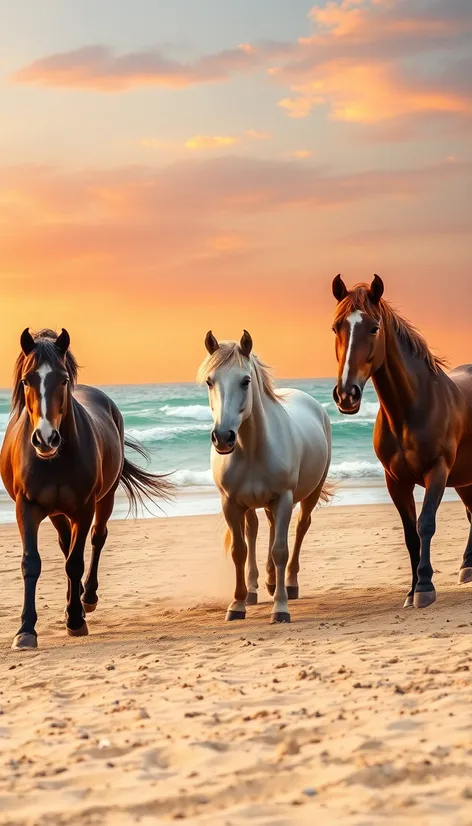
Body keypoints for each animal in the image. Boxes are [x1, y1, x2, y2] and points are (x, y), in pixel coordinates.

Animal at [0, 326, 172, 648]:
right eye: (27, 380)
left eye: (63, 379)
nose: (45, 439)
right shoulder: (27, 508)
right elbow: (32, 563)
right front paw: (26, 630)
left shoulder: (83, 508)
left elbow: (75, 563)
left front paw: (76, 620)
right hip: (57, 513)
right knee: (65, 544)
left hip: (105, 500)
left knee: (96, 539)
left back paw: (87, 598)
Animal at [199, 328, 332, 616]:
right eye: (210, 381)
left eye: (246, 380)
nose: (223, 437)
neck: (252, 449)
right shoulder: (231, 503)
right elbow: (240, 550)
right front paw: (237, 604)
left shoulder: (283, 498)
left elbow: (280, 549)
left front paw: (280, 607)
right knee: (259, 530)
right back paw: (256, 588)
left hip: (309, 494)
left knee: (300, 528)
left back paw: (289, 585)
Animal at [332, 276, 472, 604]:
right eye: (336, 328)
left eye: (374, 328)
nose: (346, 394)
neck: (412, 408)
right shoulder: (395, 481)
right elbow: (410, 534)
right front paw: (411, 589)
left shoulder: (437, 471)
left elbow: (426, 523)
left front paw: (425, 587)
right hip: (464, 480)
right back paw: (468, 567)